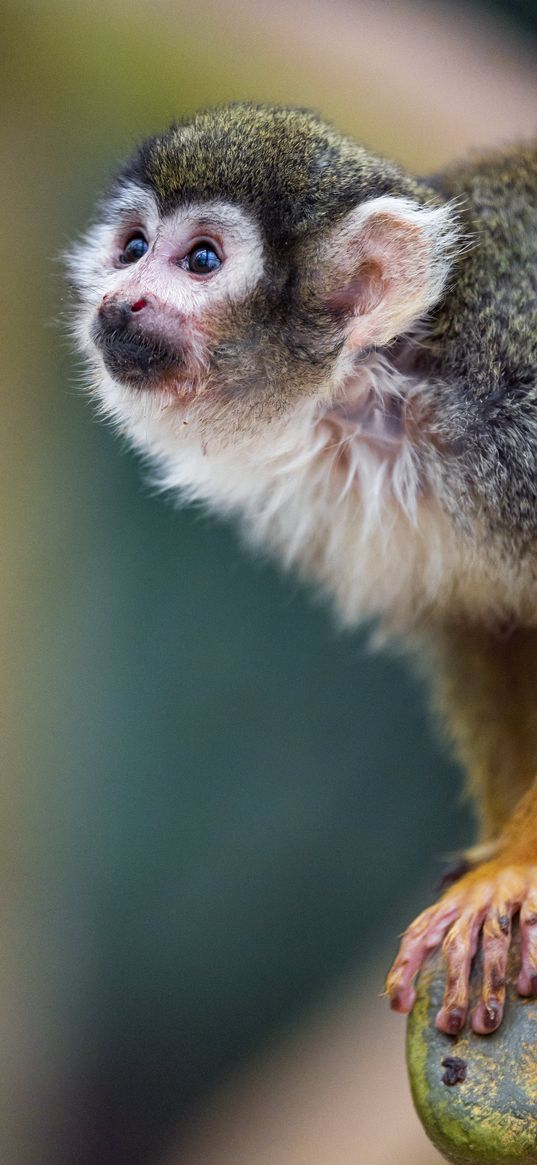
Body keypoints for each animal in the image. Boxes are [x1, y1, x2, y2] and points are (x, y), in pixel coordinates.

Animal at [68, 102, 535, 1039]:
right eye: (133, 246)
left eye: (200, 260)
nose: (120, 296)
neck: (387, 383)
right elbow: (480, 626)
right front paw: (501, 858)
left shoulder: (513, 399)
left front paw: (520, 869)